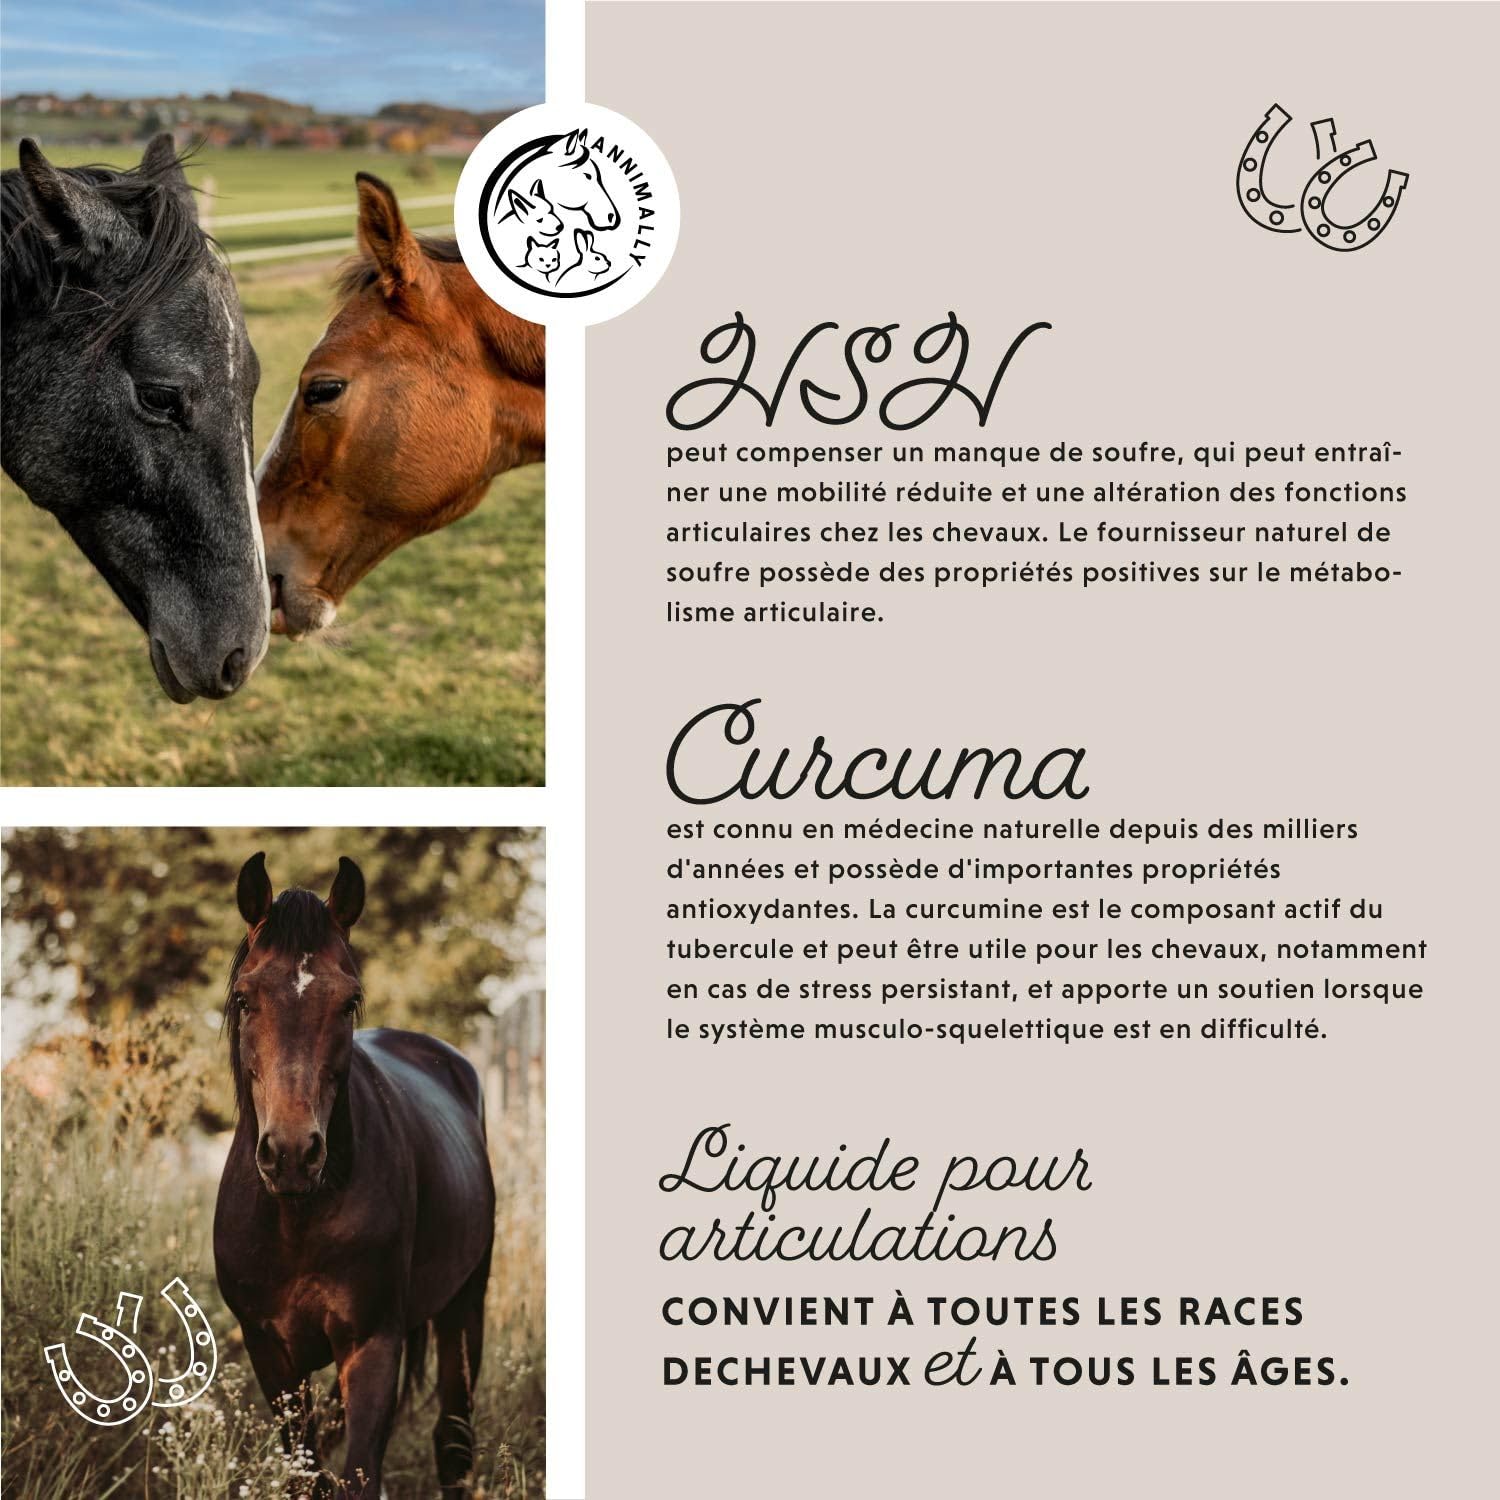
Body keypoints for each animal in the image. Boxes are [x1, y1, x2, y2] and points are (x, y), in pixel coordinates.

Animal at [213, 852, 495, 1498]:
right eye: (243, 999)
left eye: (348, 1001)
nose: (293, 1153)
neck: (298, 1218)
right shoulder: (270, 1351)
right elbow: (307, 1474)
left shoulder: (372, 1346)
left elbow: (361, 1474)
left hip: (464, 1306)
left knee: (453, 1440)